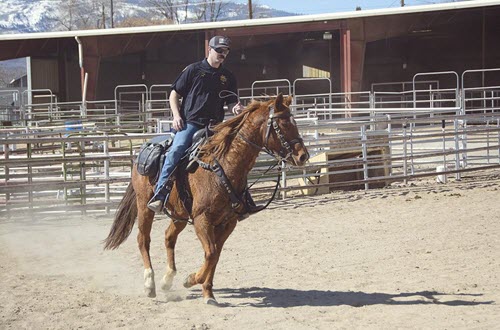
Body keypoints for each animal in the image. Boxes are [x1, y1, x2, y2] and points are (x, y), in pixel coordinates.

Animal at [103, 93, 308, 304]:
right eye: (282, 124)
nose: (303, 156)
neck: (223, 165)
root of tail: (141, 153)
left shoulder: (228, 222)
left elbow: (215, 254)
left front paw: (208, 293)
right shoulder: (202, 219)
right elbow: (210, 253)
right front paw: (191, 279)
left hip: (179, 213)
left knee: (169, 237)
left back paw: (167, 280)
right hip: (144, 204)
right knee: (143, 239)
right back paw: (149, 284)